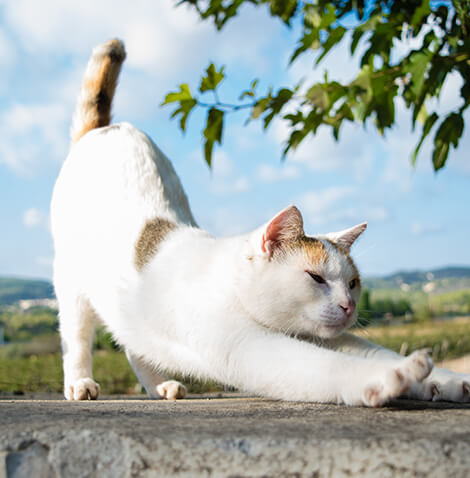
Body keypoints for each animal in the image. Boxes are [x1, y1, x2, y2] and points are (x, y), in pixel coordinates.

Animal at [49, 37, 468, 406]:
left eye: (353, 283)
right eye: (315, 277)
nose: (349, 306)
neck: (233, 287)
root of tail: (104, 128)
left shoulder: (330, 337)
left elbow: (373, 351)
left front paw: (444, 381)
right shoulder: (247, 347)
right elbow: (326, 368)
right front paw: (391, 379)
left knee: (134, 343)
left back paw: (160, 386)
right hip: (72, 290)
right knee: (77, 340)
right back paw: (81, 384)